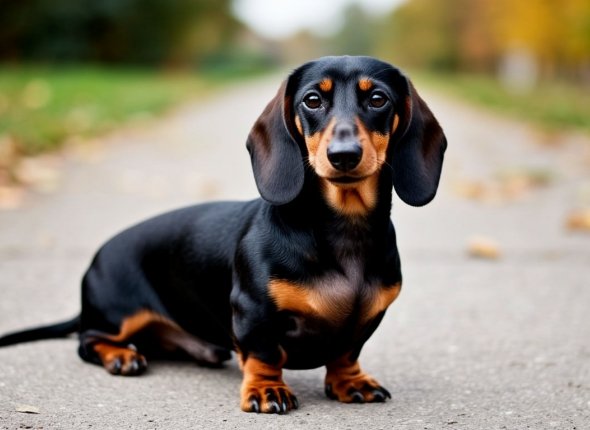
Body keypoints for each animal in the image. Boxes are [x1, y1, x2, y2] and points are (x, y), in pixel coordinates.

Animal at [0, 56, 446, 414]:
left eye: (378, 100)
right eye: (312, 100)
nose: (344, 156)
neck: (343, 228)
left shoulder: (368, 317)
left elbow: (346, 352)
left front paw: (350, 381)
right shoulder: (252, 311)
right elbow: (264, 353)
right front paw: (266, 389)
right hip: (117, 313)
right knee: (87, 339)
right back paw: (120, 356)